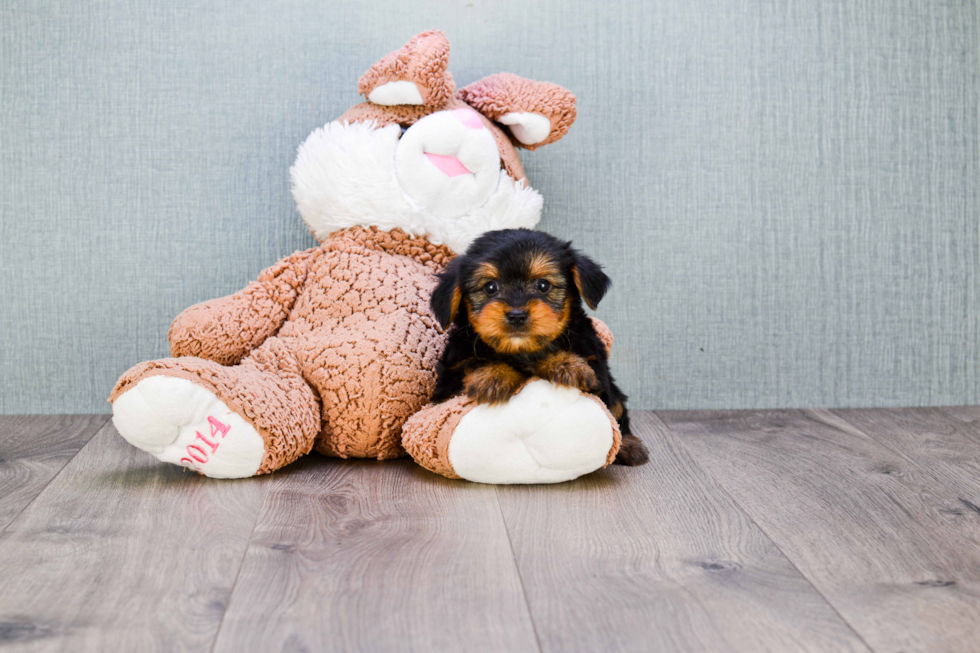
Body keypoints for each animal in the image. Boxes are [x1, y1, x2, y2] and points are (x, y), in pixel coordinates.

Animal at [430, 228, 648, 464]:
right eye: (490, 287)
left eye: (543, 285)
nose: (517, 315)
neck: (521, 351)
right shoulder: (448, 383)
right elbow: (471, 365)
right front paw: (493, 375)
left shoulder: (596, 369)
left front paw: (567, 364)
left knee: (617, 411)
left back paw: (628, 445)